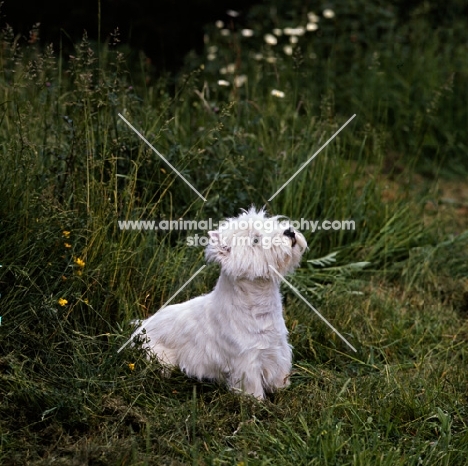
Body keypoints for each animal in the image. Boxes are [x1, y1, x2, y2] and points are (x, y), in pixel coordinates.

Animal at [132, 208, 308, 400]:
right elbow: (251, 387)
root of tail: (139, 327)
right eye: (255, 240)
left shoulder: (278, 350)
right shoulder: (246, 361)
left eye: (271, 224)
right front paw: (256, 401)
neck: (259, 307)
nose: (289, 232)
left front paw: (282, 389)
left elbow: (279, 376)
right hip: (159, 355)